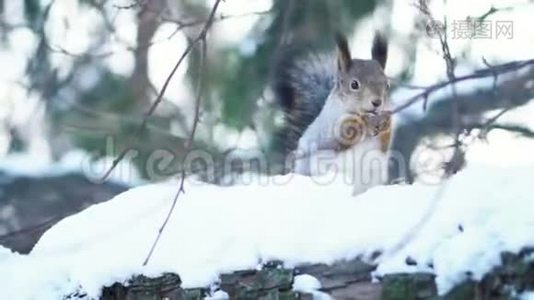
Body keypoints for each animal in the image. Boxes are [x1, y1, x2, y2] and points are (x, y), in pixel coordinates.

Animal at [276, 31, 394, 193]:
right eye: (354, 84)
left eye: (387, 85)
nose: (377, 102)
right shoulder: (329, 128)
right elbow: (341, 135)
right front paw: (356, 125)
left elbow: (385, 142)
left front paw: (386, 123)